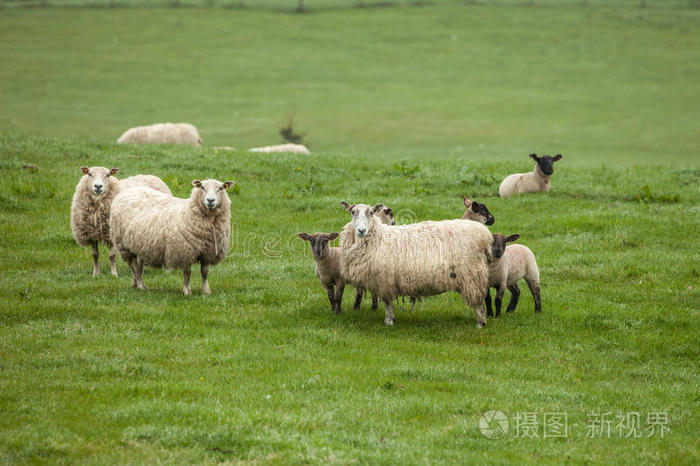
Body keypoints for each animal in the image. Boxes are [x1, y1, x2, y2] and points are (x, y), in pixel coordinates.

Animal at [340, 204, 492, 328]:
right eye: (353, 212)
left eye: (371, 213)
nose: (361, 230)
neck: (378, 237)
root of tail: (485, 235)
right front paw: (390, 319)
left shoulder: (385, 280)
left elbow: (388, 302)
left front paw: (389, 321)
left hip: (472, 275)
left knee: (479, 302)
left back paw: (480, 323)